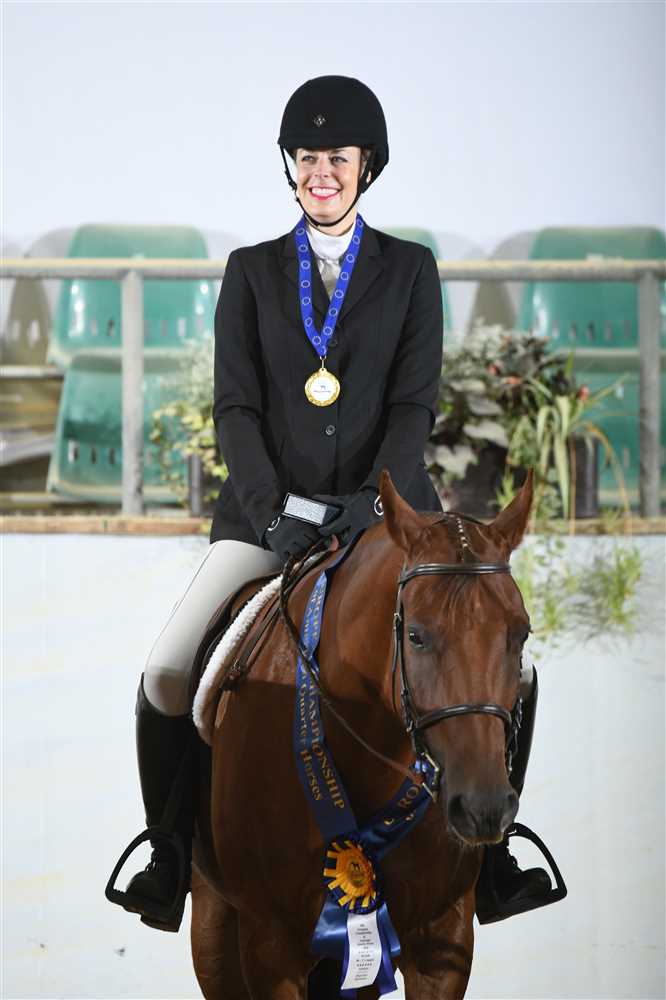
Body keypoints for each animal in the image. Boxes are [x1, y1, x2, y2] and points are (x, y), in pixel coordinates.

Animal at [189, 467, 535, 999]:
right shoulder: (269, 944)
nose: (484, 809)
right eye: (415, 635)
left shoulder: (443, 936)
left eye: (520, 634)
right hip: (214, 926)